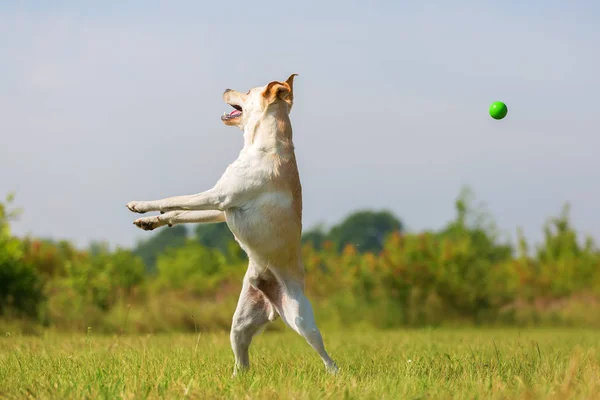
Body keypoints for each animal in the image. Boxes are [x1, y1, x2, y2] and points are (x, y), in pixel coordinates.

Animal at [126, 74, 338, 376]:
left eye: (247, 91)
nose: (225, 88)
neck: (261, 144)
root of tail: (274, 308)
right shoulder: (221, 209)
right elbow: (177, 212)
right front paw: (150, 221)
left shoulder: (218, 197)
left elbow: (173, 199)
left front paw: (140, 205)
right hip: (239, 324)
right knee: (243, 361)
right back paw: (236, 379)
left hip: (301, 320)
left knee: (327, 356)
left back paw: (336, 375)